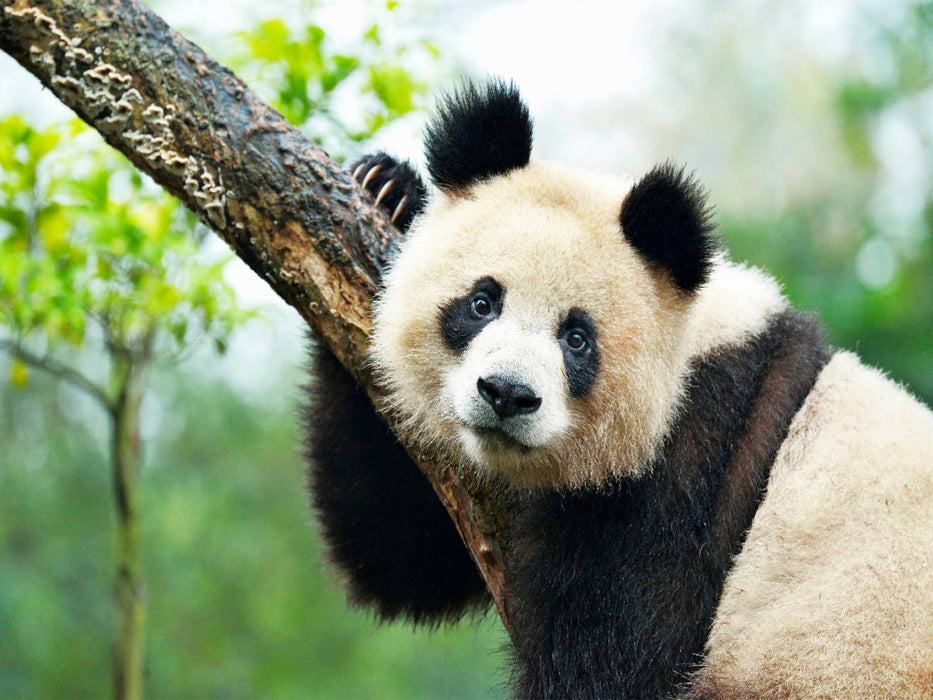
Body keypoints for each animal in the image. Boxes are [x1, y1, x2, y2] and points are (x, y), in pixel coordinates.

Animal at [304, 79, 933, 698]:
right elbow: (401, 548)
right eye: (482, 303)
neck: (690, 348)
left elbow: (619, 660)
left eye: (577, 338)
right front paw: (388, 186)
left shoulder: (695, 470)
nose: (506, 395)